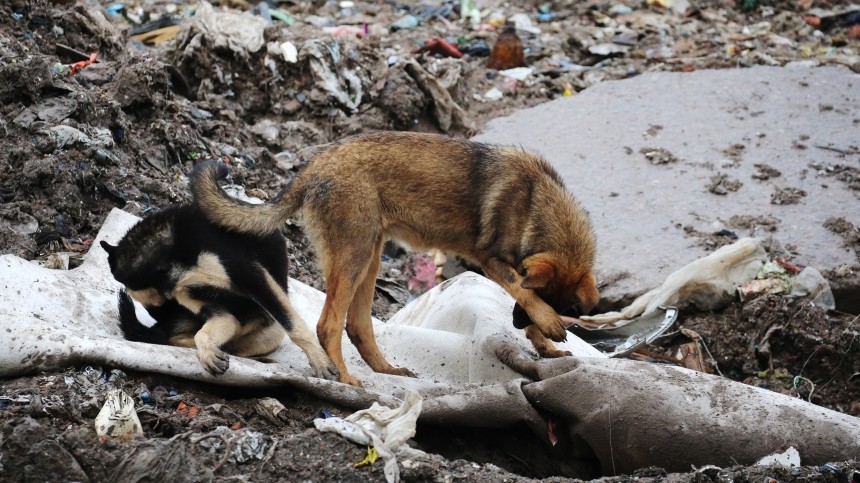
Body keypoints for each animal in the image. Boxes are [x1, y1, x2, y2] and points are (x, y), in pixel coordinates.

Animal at [102, 203, 338, 378]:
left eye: (162, 306)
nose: (165, 321)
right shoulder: (213, 309)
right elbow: (202, 333)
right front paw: (208, 353)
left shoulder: (254, 280)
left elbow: (296, 329)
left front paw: (320, 361)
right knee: (186, 340)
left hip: (272, 331)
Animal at [193, 131, 596, 386]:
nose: (513, 324)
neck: (536, 203)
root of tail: (316, 163)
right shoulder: (492, 261)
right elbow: (522, 290)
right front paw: (548, 325)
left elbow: (527, 302)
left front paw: (544, 344)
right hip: (354, 256)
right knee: (328, 325)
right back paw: (345, 377)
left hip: (368, 257)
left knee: (357, 326)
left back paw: (386, 371)